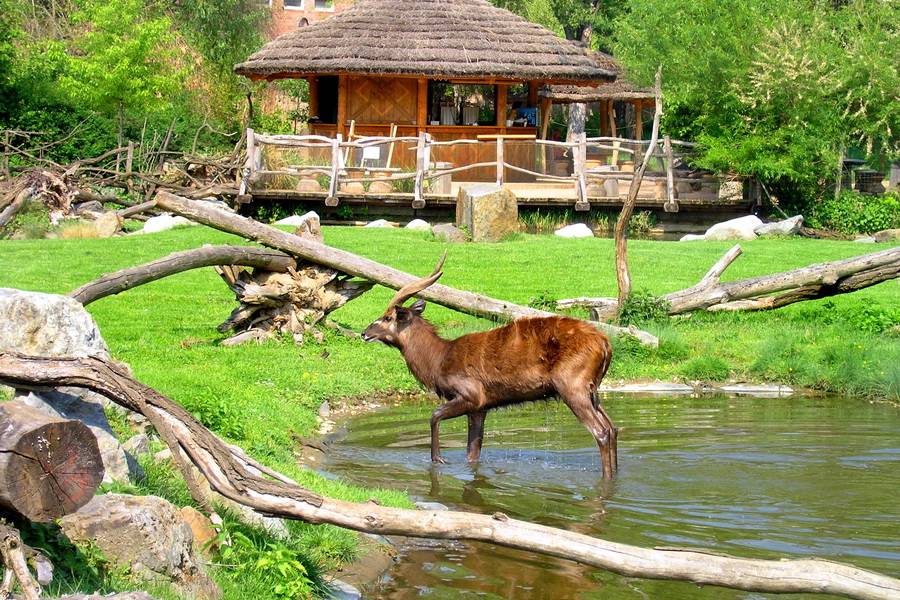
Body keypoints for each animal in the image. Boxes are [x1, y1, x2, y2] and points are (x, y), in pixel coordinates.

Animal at [358, 253, 620, 478]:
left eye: (388, 317)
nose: (364, 333)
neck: (439, 360)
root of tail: (605, 345)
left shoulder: (471, 395)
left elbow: (434, 415)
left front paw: (438, 459)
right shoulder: (480, 409)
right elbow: (472, 453)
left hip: (572, 386)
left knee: (601, 432)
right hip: (592, 389)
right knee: (613, 428)